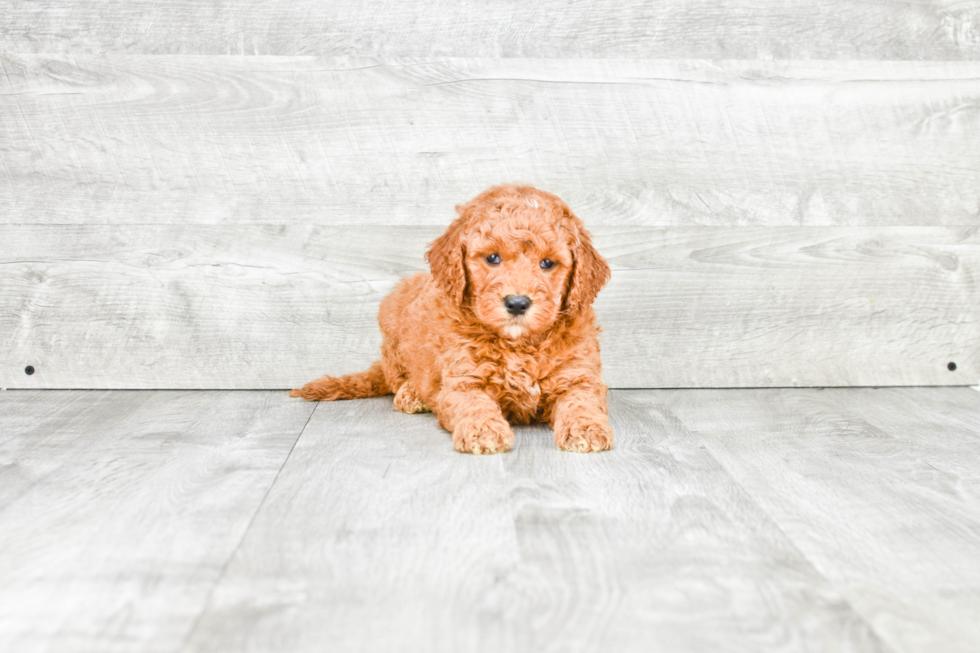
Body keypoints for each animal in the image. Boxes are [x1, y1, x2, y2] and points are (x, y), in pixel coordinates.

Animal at [290, 183, 612, 454]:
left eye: (547, 263)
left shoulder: (579, 376)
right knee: (396, 378)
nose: (517, 303)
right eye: (492, 258)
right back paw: (412, 395)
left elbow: (581, 401)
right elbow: (473, 403)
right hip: (393, 319)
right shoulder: (462, 380)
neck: (519, 345)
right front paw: (483, 431)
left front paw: (586, 429)